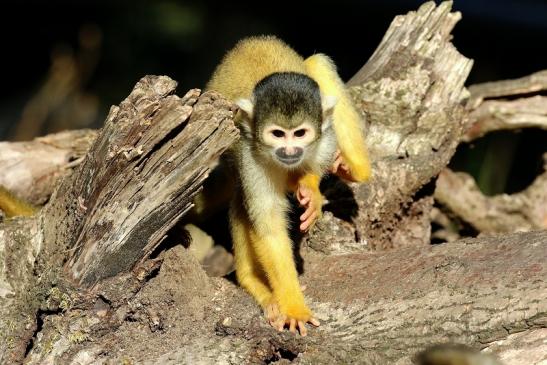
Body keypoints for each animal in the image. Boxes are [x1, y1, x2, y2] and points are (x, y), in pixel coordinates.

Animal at [207, 35, 372, 334]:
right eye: (277, 134)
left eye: (299, 133)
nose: (290, 151)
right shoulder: (250, 153)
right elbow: (269, 225)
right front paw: (293, 306)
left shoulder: (322, 135)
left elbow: (320, 159)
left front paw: (309, 189)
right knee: (241, 199)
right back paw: (257, 286)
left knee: (318, 63)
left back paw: (355, 168)